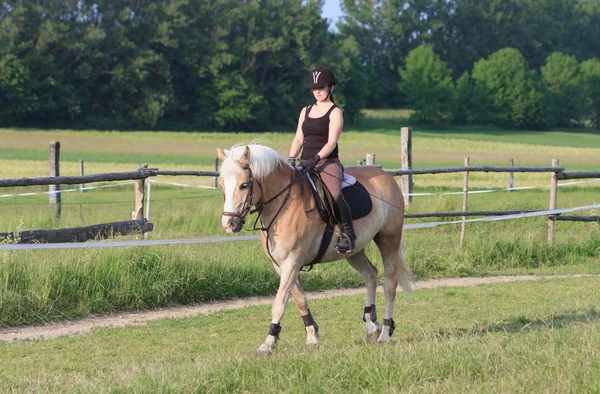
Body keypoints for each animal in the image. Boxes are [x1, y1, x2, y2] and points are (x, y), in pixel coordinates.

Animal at [217, 143, 412, 356]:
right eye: (222, 184)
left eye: (244, 185)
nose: (229, 224)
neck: (282, 203)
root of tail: (386, 177)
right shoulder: (282, 265)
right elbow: (299, 299)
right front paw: (312, 336)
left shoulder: (292, 262)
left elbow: (279, 303)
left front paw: (268, 342)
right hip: (354, 250)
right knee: (370, 275)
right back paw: (371, 325)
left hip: (389, 240)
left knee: (390, 285)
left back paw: (385, 332)